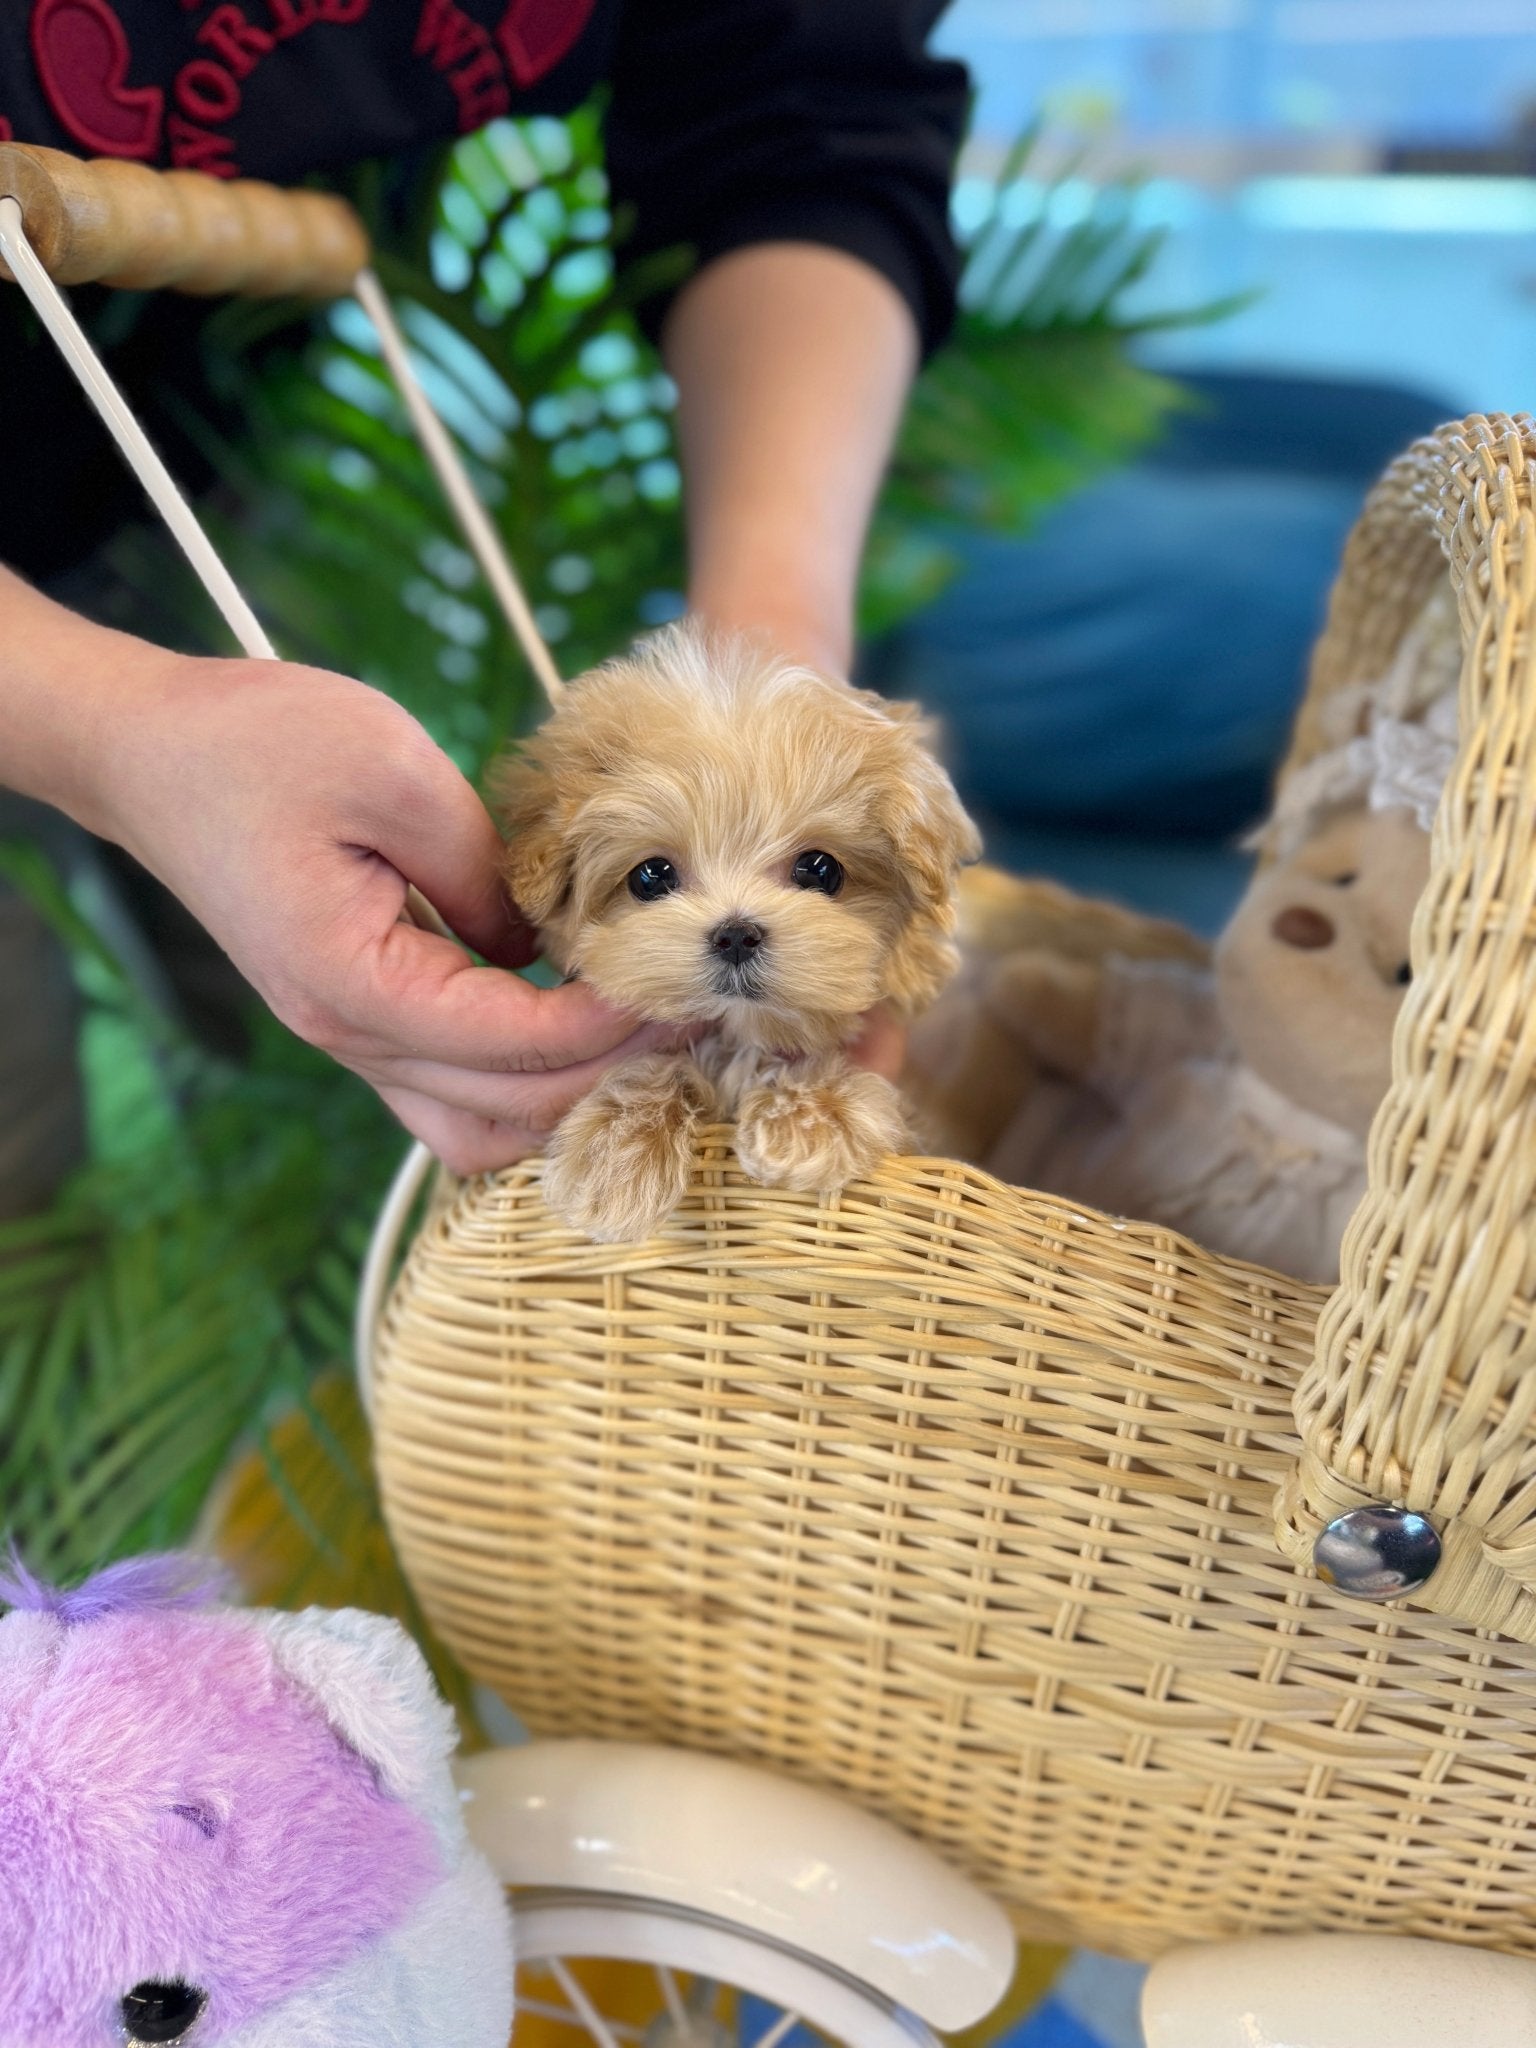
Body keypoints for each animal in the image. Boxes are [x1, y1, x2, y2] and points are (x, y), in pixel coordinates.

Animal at [499, 614, 978, 1236]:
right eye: (651, 876)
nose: (735, 934)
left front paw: (810, 1116)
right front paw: (615, 1154)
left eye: (820, 869)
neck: (740, 1034)